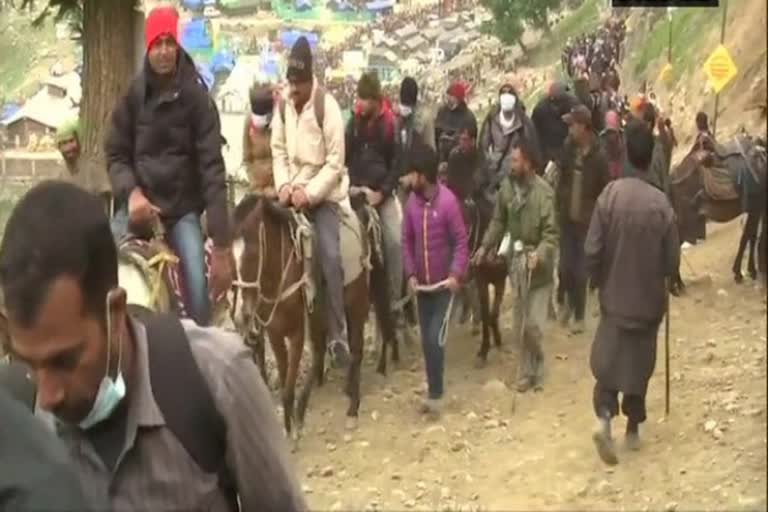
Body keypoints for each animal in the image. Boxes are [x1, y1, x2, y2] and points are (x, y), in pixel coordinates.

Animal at [231, 194, 368, 438]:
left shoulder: (297, 333)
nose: (241, 316)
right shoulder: (275, 334)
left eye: (253, 254)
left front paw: (294, 428)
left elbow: (288, 387)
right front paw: (289, 424)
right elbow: (287, 380)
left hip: (355, 305)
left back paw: (353, 408)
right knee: (321, 354)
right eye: (231, 255)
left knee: (355, 351)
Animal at [668, 135, 764, 288]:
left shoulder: (755, 208)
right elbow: (749, 237)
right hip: (683, 222)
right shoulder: (756, 205)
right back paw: (674, 286)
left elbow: (749, 236)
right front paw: (744, 272)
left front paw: (743, 271)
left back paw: (679, 284)